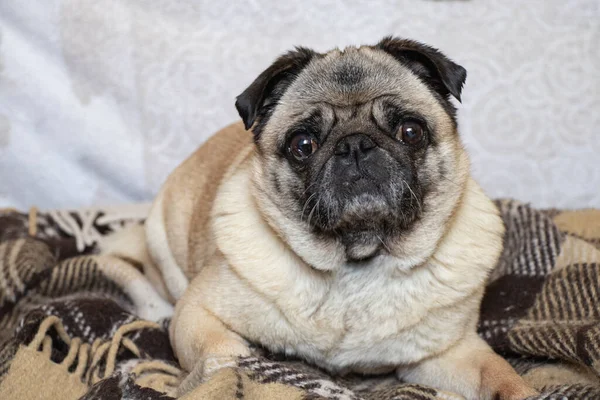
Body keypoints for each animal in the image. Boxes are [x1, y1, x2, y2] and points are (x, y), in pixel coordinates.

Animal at [104, 37, 540, 400]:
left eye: (411, 131)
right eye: (303, 145)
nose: (355, 145)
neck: (357, 261)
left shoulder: (449, 352)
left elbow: (500, 375)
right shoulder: (198, 313)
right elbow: (224, 355)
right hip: (163, 243)